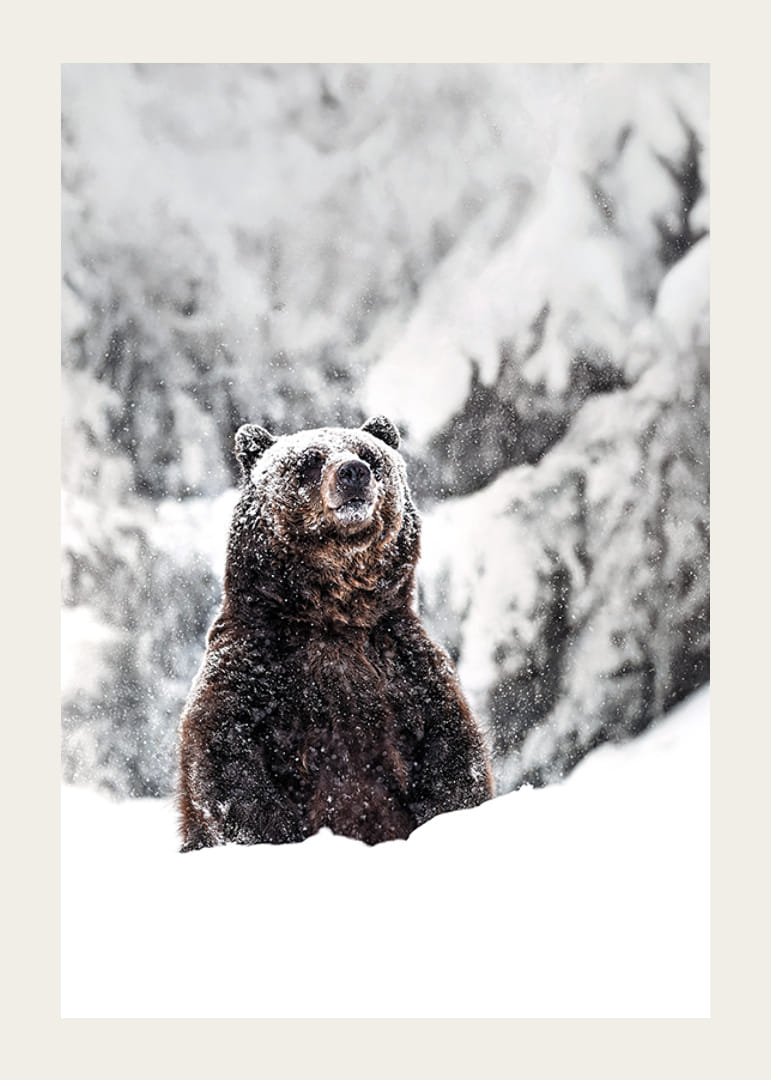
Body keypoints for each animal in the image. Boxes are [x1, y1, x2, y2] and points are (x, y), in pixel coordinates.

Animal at [177, 415, 492, 851]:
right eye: (310, 460)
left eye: (369, 455)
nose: (353, 473)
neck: (335, 615)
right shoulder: (255, 664)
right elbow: (227, 763)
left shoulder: (407, 668)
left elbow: (453, 756)